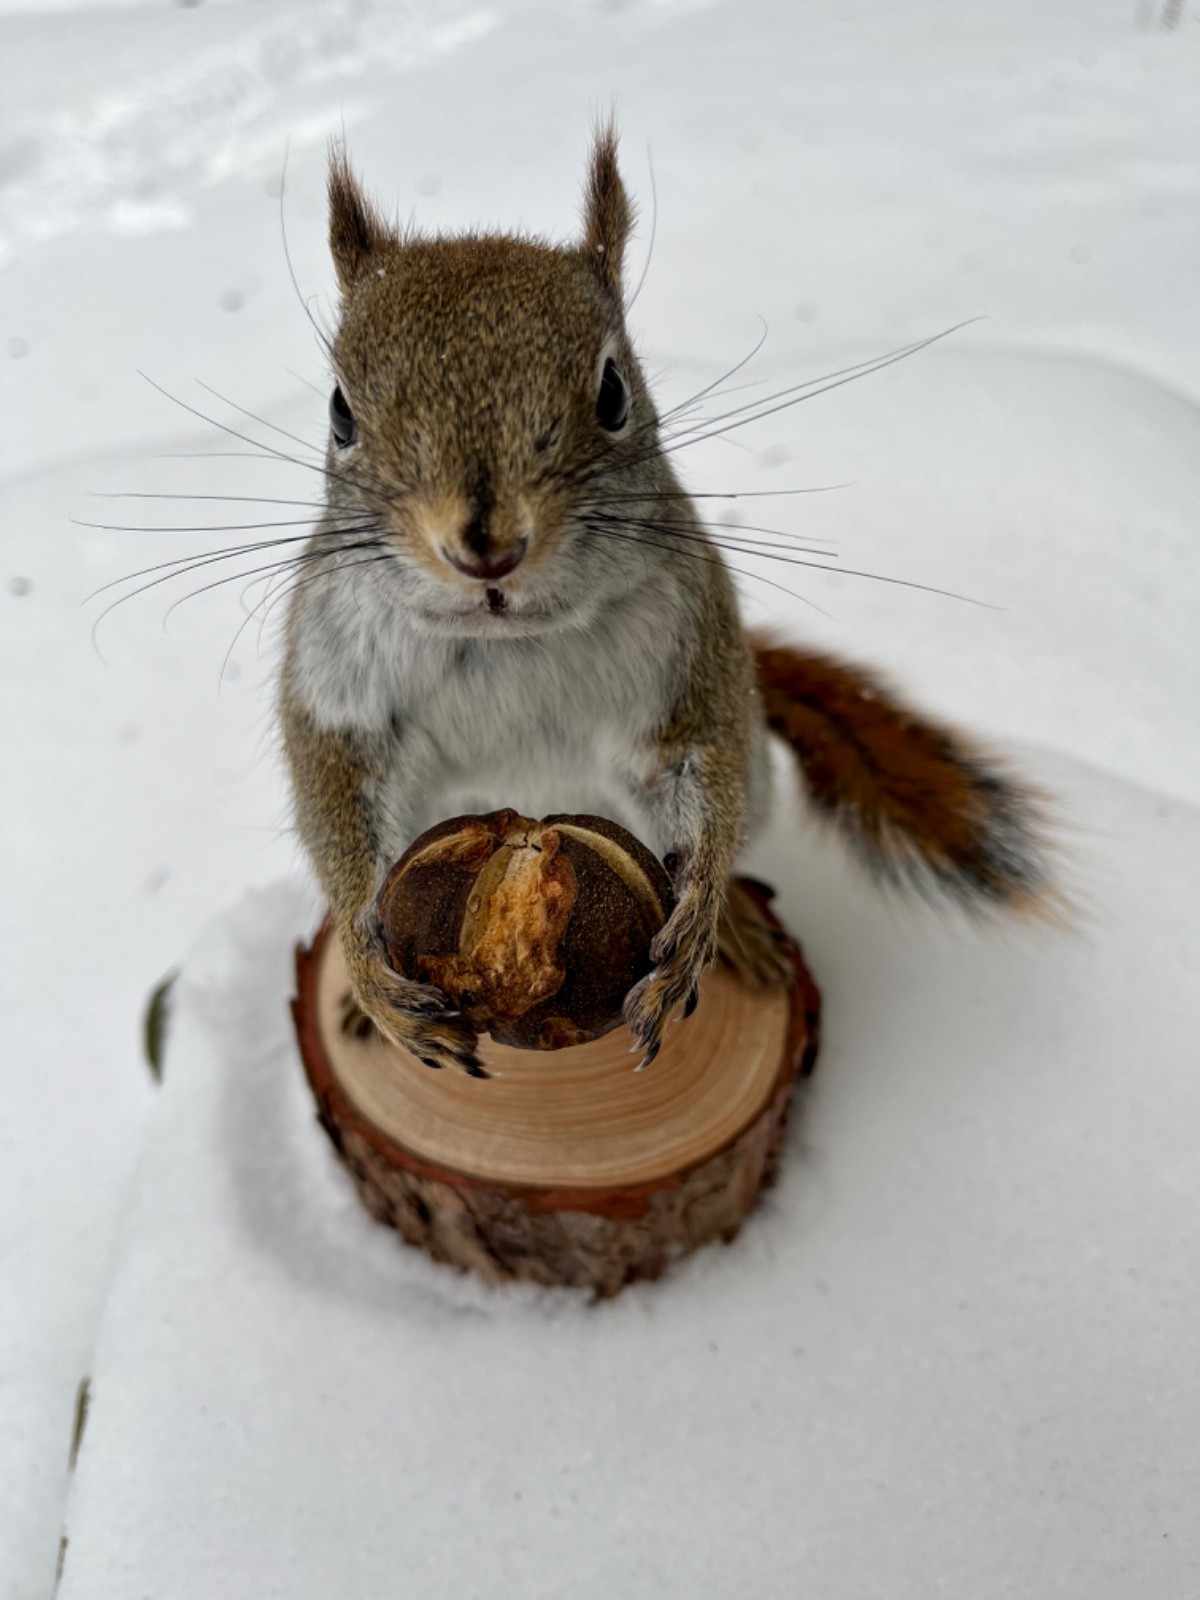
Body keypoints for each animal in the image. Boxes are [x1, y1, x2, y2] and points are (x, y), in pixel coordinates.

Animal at [279, 126, 1052, 1078]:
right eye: (340, 413)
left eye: (614, 392)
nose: (485, 546)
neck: (507, 642)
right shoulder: (335, 687)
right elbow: (337, 810)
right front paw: (367, 976)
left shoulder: (692, 656)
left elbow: (701, 775)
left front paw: (700, 923)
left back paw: (744, 932)